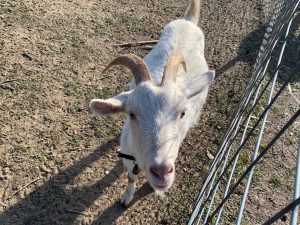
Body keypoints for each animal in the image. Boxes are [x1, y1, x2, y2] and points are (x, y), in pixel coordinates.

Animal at [89, 0, 213, 207]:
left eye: (182, 113)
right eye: (131, 114)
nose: (161, 171)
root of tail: (188, 21)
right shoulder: (128, 159)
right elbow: (130, 178)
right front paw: (126, 197)